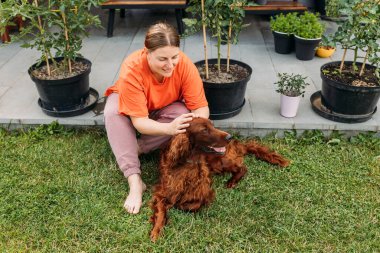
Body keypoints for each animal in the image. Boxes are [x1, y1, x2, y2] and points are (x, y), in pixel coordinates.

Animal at [149, 117, 290, 242]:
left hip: (220, 161)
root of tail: (236, 143)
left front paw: (177, 205)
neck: (187, 163)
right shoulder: (161, 193)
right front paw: (156, 231)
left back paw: (231, 182)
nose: (229, 137)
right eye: (204, 130)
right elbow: (161, 212)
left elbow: (189, 205)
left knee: (242, 168)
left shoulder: (205, 193)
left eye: (212, 125)